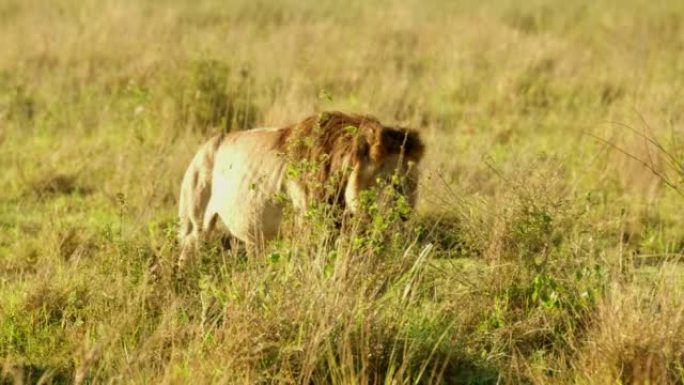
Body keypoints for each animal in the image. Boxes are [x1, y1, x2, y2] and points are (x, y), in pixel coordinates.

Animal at [176, 110, 422, 264]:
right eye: (387, 182)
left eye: (408, 184)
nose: (402, 214)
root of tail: (206, 145)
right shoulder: (309, 225)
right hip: (193, 226)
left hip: (253, 239)